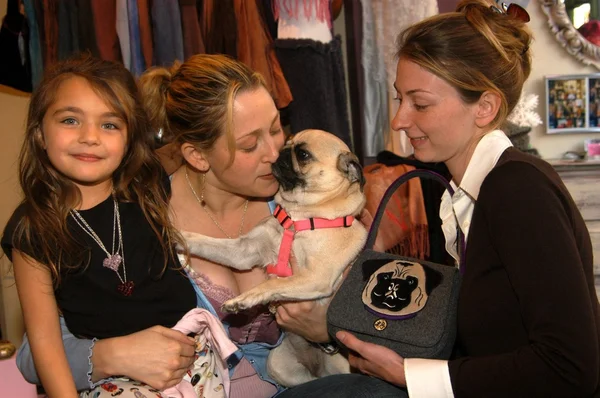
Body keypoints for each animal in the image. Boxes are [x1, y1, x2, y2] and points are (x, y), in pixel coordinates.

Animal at [183, 130, 368, 386]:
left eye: (303, 154)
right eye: (285, 142)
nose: (280, 152)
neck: (297, 216)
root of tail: (316, 369)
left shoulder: (315, 277)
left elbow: (271, 284)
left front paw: (242, 300)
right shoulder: (244, 251)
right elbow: (206, 242)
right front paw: (179, 237)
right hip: (278, 365)